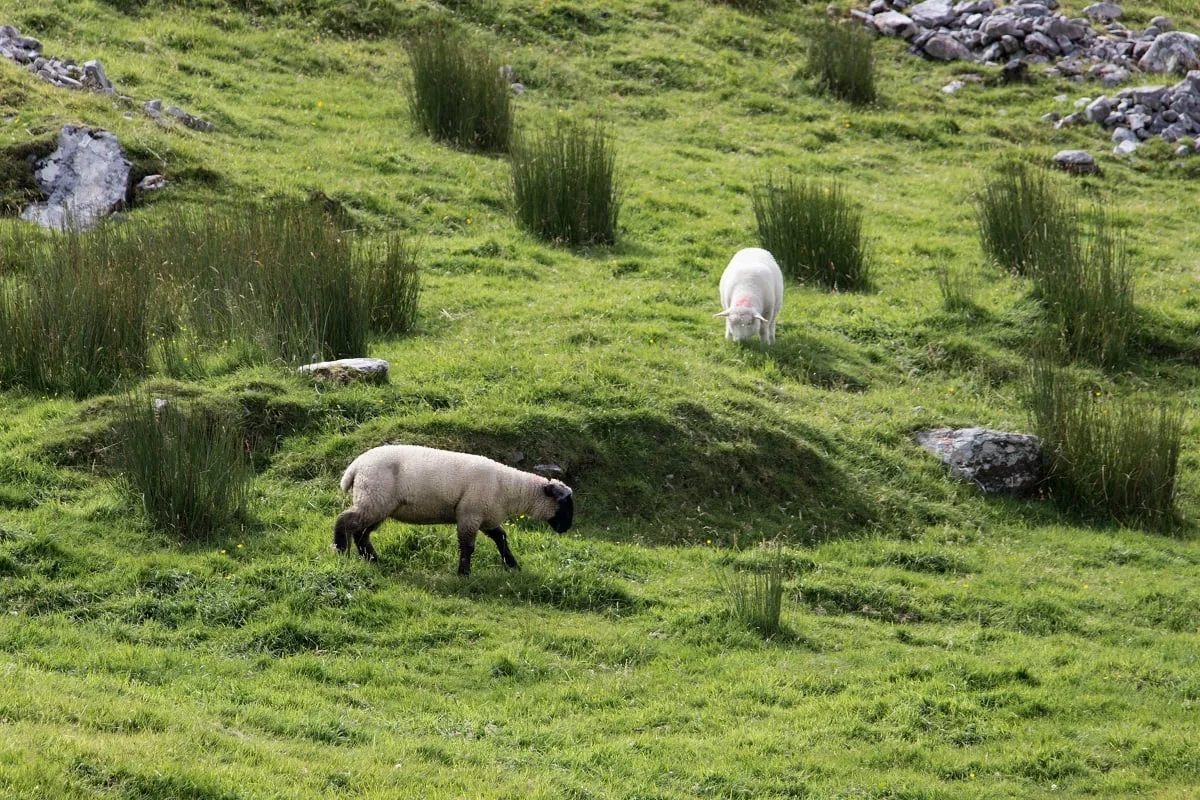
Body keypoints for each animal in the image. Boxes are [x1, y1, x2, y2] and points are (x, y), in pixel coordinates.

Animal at [334, 444, 574, 576]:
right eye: (564, 504)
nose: (566, 529)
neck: (509, 489)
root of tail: (355, 466)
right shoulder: (470, 514)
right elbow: (467, 546)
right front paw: (464, 573)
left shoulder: (485, 517)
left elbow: (501, 538)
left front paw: (513, 566)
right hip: (374, 497)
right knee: (345, 521)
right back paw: (341, 551)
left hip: (378, 503)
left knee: (360, 531)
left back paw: (372, 559)